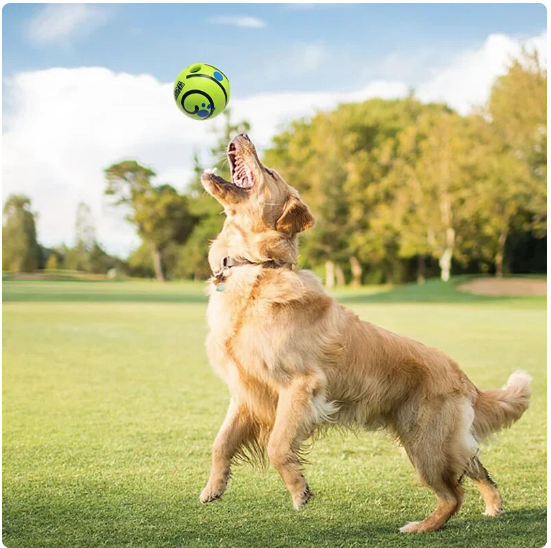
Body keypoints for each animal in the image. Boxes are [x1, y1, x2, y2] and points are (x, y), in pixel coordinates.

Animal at [198, 135, 532, 532]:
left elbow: (278, 445)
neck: (258, 268)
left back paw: (422, 526)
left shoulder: (301, 386)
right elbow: (220, 442)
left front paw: (299, 490)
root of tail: (464, 378)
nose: (244, 136)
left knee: (454, 494)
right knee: (476, 467)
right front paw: (214, 486)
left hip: (425, 445)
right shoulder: (247, 391)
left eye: (270, 172)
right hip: (437, 442)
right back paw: (493, 506)